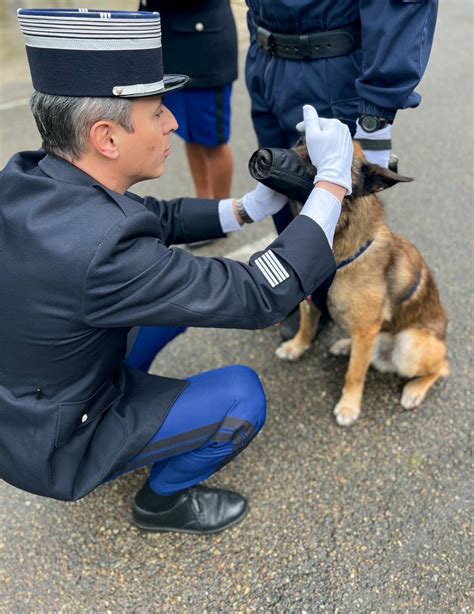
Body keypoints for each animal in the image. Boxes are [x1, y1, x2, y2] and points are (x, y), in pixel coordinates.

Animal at [274, 142, 448, 426]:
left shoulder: (366, 330)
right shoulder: (310, 305)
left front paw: (349, 406)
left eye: (322, 160)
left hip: (408, 346)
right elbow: (306, 328)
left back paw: (415, 389)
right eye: (298, 142)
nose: (263, 155)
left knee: (443, 367)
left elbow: (354, 374)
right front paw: (296, 347)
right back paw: (345, 345)